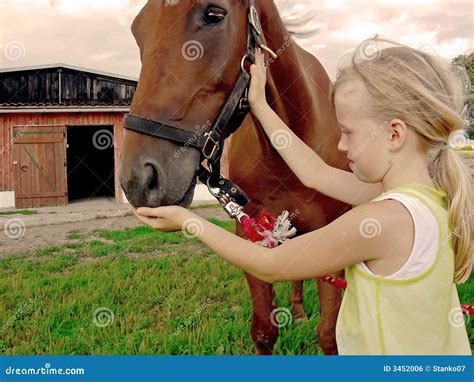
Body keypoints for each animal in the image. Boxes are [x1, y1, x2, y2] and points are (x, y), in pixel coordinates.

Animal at [119, 0, 348, 356]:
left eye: (214, 14)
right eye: (137, 29)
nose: (140, 179)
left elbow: (329, 335)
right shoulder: (251, 235)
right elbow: (264, 331)